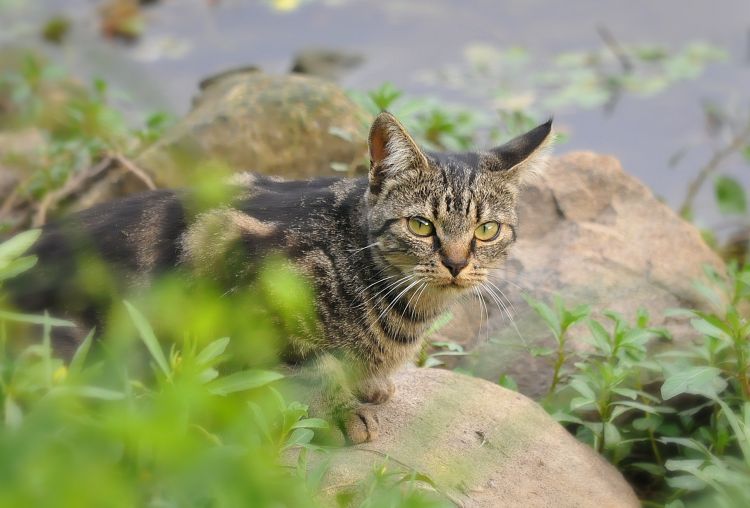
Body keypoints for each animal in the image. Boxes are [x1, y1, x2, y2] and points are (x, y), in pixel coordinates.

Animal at [8, 110, 556, 440]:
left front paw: (370, 384)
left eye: (486, 229)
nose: (457, 263)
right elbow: (315, 366)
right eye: (422, 225)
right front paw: (344, 410)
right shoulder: (233, 275)